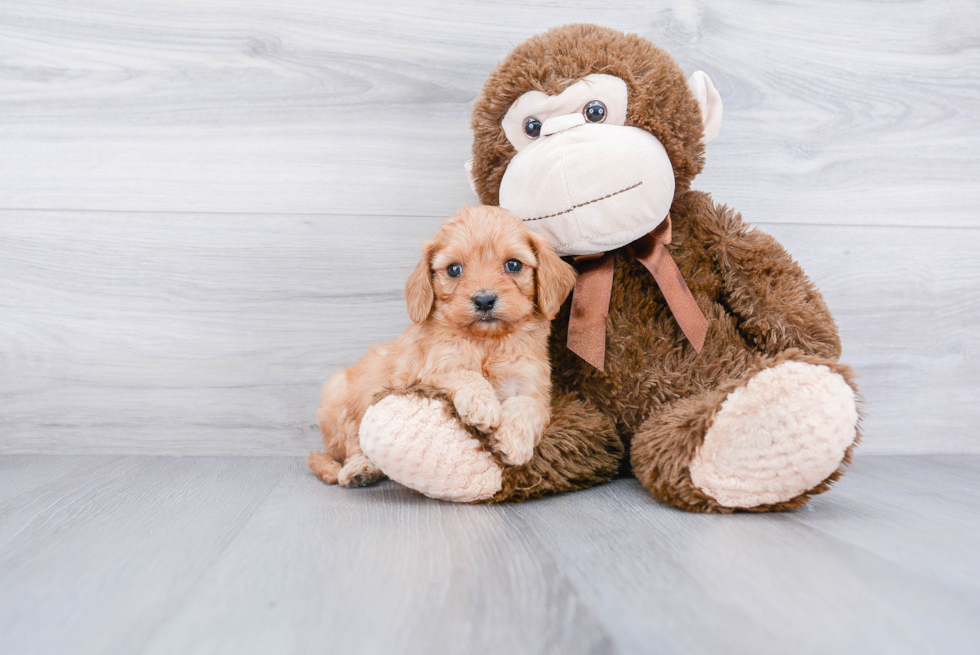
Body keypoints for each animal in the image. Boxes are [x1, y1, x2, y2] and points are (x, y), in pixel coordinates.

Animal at [310, 205, 580, 486]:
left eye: (513, 264)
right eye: (454, 269)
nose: (484, 300)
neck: (487, 342)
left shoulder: (532, 386)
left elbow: (527, 406)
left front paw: (514, 440)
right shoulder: (432, 370)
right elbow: (466, 374)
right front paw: (482, 405)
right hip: (338, 400)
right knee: (352, 442)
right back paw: (359, 469)